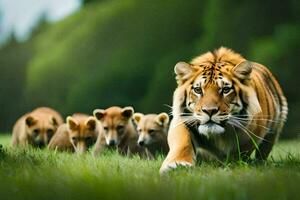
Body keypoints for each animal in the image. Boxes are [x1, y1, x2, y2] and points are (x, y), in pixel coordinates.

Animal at [159, 47, 288, 173]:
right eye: (198, 90)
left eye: (225, 90)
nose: (209, 111)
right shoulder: (183, 120)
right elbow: (182, 142)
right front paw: (177, 165)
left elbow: (240, 150)